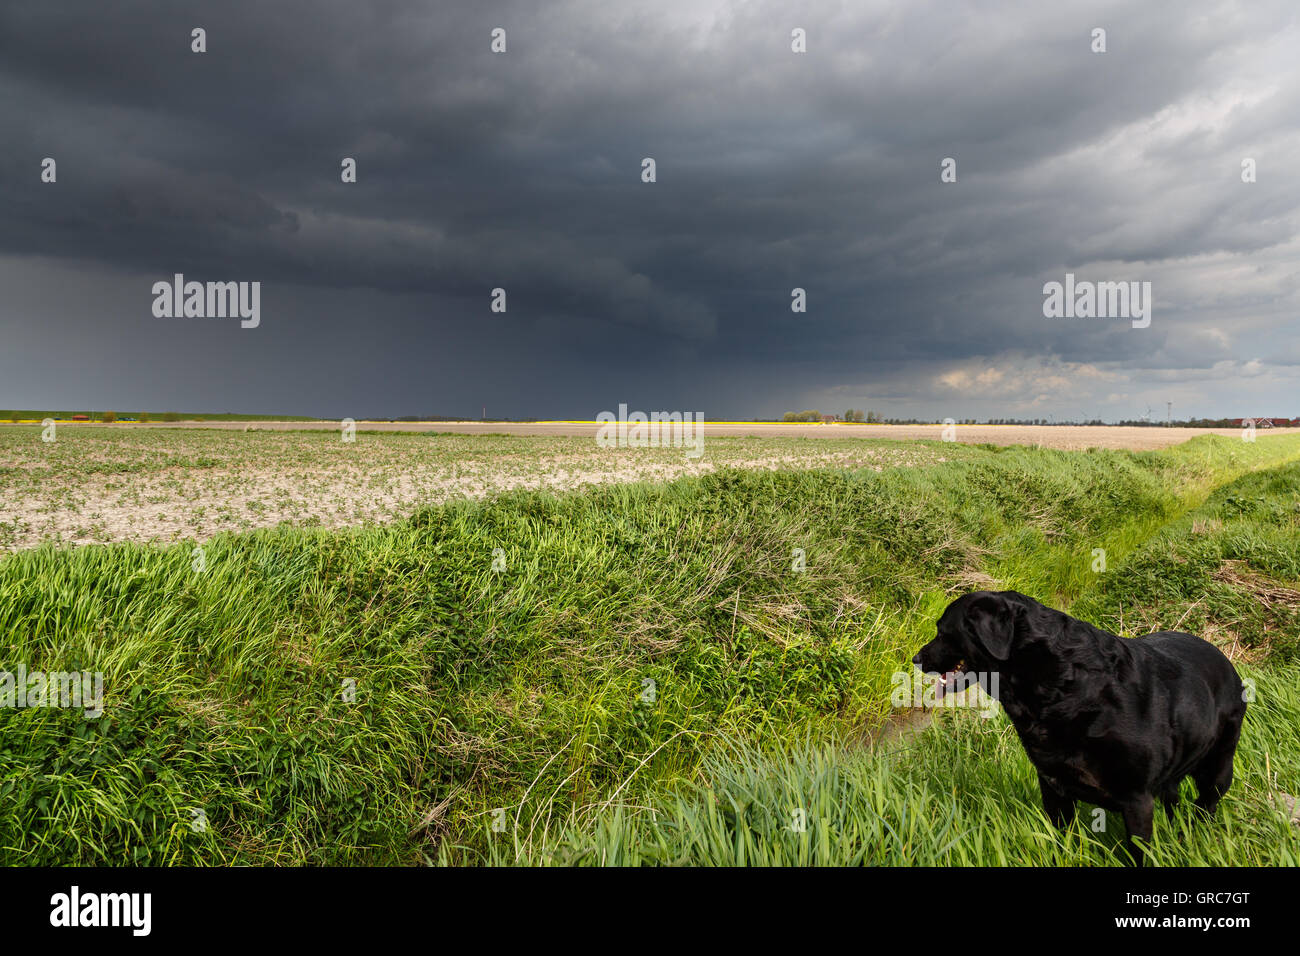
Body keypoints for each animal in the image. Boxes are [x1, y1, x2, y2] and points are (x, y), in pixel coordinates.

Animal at [915, 587, 1248, 863]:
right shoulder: (1053, 787)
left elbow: (1139, 853)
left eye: (943, 631)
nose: (916, 659)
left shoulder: (1137, 798)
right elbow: (1060, 840)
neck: (1064, 687)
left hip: (1218, 769)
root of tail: (1227, 662)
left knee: (1205, 805)